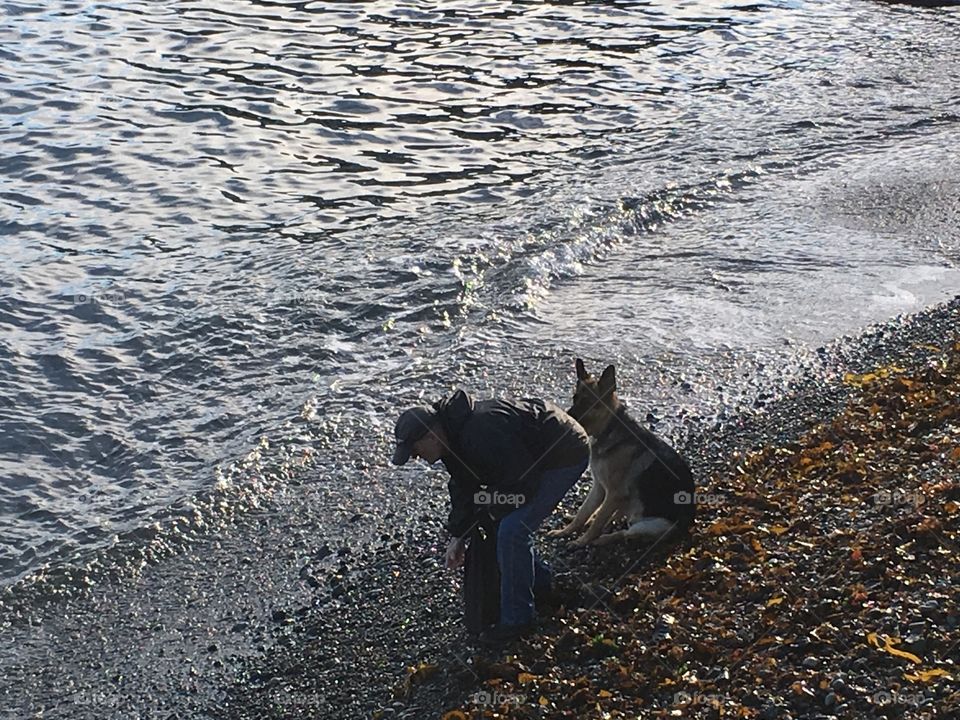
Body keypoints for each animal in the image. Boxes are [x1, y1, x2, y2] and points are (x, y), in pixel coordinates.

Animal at [552, 360, 692, 544]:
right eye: (575, 399)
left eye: (589, 402)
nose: (565, 420)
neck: (609, 430)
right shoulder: (599, 487)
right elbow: (584, 513)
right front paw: (566, 531)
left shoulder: (614, 494)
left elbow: (597, 522)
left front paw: (583, 541)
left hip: (646, 525)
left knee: (623, 532)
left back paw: (602, 539)